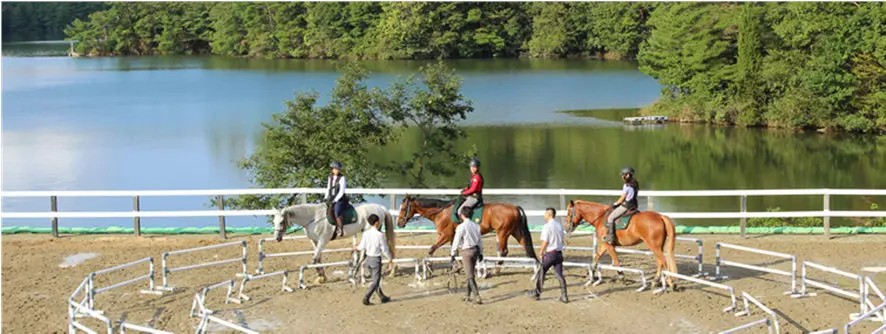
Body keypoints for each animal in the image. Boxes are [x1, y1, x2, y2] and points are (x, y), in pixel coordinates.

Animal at [398, 196, 536, 264]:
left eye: (404, 208)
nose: (399, 223)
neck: (441, 212)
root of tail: (515, 208)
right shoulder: (453, 236)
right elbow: (454, 252)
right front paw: (457, 268)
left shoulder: (446, 235)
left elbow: (432, 249)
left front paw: (430, 267)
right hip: (515, 232)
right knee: (526, 247)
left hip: (503, 233)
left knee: (504, 251)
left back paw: (496, 269)